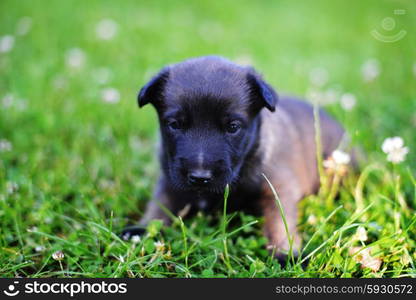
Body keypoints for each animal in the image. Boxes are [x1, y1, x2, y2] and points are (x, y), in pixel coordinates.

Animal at [122, 56, 344, 258]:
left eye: (233, 127)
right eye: (175, 124)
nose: (200, 177)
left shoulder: (278, 186)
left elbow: (279, 219)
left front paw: (285, 252)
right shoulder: (169, 180)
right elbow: (160, 205)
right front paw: (142, 229)